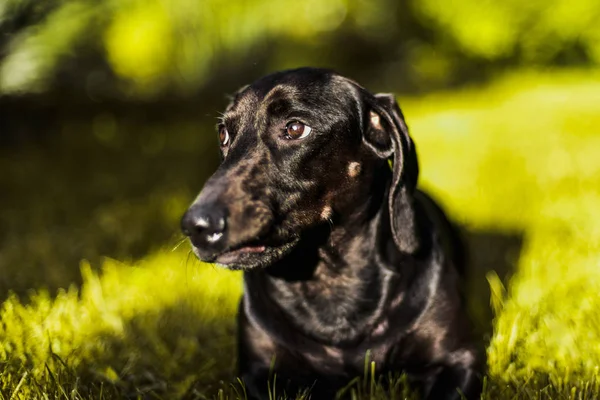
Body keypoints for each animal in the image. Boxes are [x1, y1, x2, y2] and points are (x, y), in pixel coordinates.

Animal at [180, 67, 486, 398]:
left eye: (295, 128)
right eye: (223, 134)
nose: (196, 226)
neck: (331, 282)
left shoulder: (458, 359)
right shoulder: (259, 373)